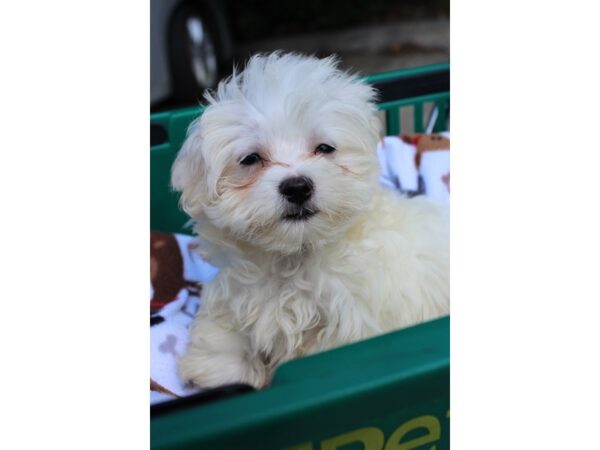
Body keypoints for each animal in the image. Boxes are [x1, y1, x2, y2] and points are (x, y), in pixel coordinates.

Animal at [171, 53, 448, 390]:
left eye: (325, 148)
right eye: (251, 159)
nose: (297, 187)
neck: (295, 256)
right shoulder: (239, 294)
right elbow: (226, 332)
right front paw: (218, 369)